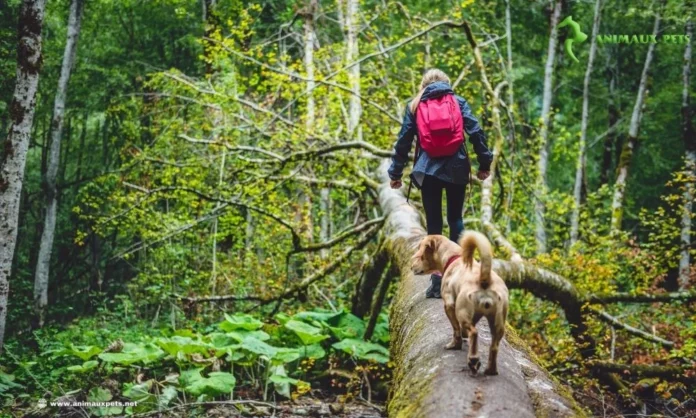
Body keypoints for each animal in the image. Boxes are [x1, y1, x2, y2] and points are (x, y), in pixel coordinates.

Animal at [410, 232, 508, 376]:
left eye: (420, 253)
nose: (411, 266)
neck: (454, 256)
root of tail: (484, 279)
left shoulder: (449, 305)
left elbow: (456, 329)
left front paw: (455, 344)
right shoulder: (474, 314)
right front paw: (463, 335)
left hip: (461, 312)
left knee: (474, 332)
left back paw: (473, 360)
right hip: (498, 323)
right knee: (494, 346)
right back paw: (490, 370)